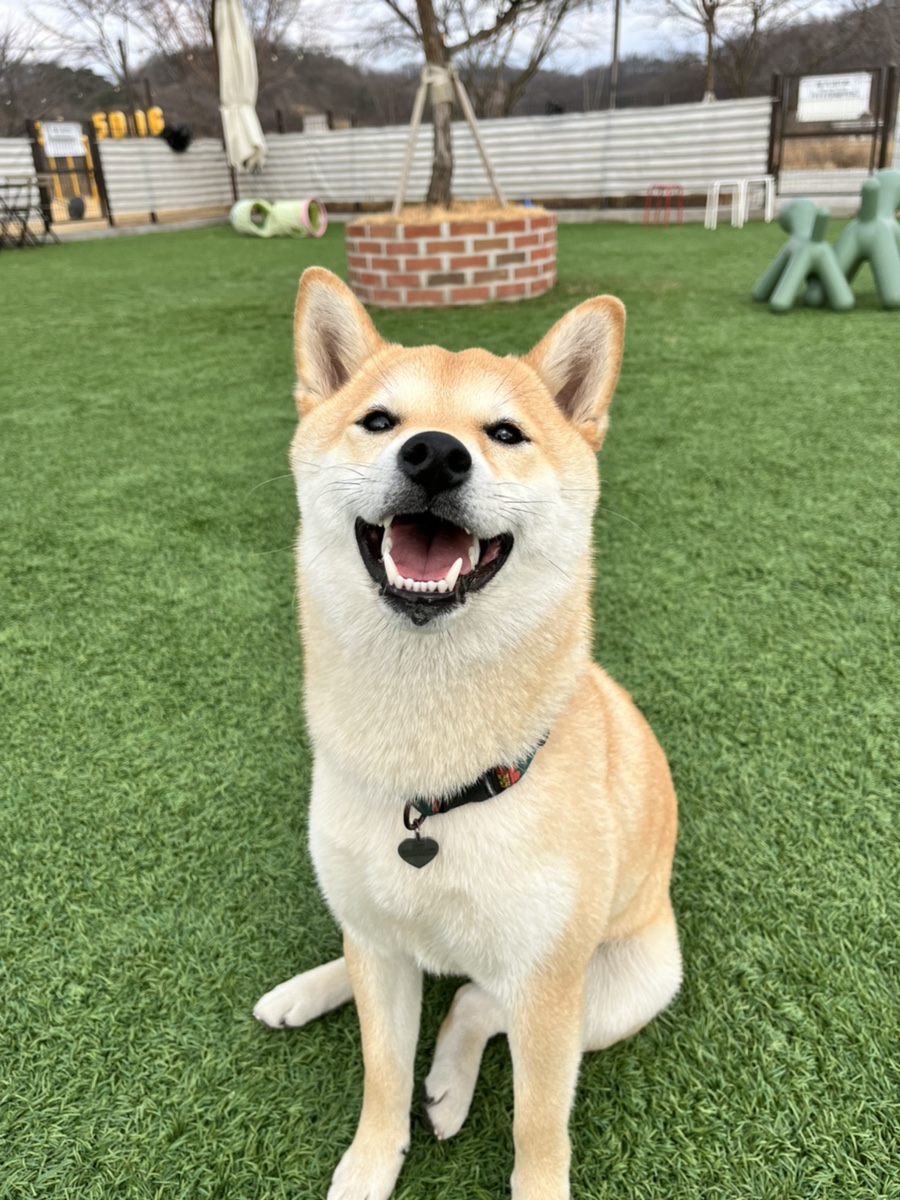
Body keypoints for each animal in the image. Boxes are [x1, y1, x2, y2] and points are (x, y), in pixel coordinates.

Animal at [254, 267, 681, 1200]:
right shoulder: (381, 947)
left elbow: (537, 1127)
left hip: (631, 981)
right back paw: (307, 992)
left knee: (476, 1000)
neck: (432, 783)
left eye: (506, 433)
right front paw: (368, 1167)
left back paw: (448, 1085)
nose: (436, 454)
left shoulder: (549, 983)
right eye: (380, 420)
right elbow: (380, 1074)